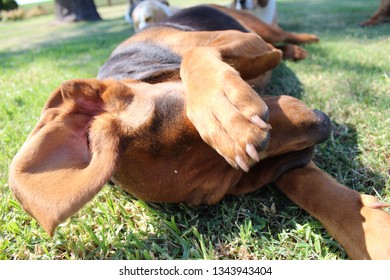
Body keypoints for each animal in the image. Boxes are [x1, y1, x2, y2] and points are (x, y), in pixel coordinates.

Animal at [8, 4, 390, 260]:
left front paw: (222, 111)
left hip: (257, 29)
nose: (324, 126)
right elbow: (304, 182)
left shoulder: (241, 41)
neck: (145, 67)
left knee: (282, 34)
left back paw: (305, 41)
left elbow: (195, 52)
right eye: (234, 184)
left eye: (185, 100)